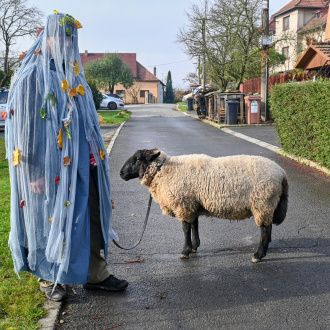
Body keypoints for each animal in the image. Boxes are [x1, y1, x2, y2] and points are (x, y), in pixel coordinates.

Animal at [120, 148, 288, 262]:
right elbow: (194, 225)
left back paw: (258, 255)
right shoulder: (192, 204)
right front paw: (195, 246)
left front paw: (185, 251)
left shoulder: (184, 205)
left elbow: (185, 229)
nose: (121, 173)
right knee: (268, 228)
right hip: (267, 205)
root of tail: (281, 173)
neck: (163, 171)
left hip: (262, 203)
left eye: (136, 159)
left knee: (264, 229)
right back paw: (265, 248)